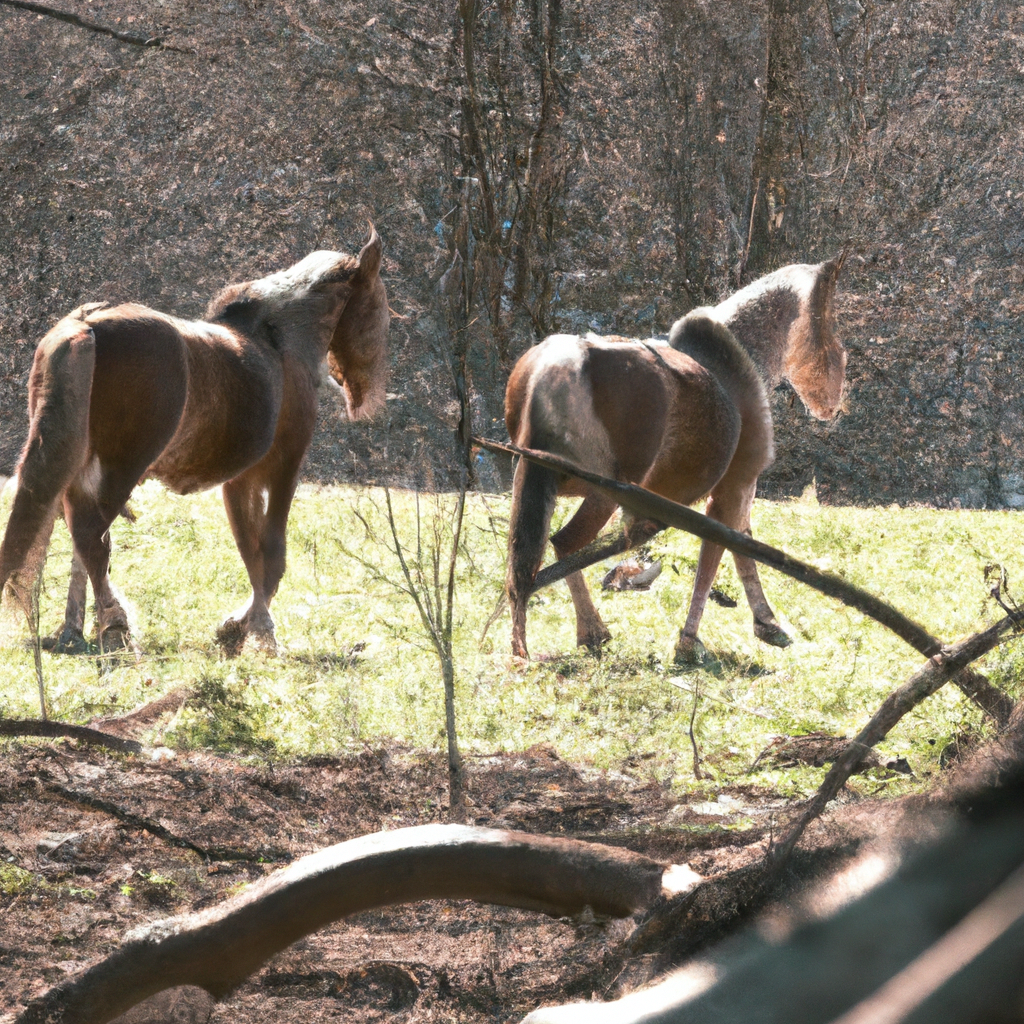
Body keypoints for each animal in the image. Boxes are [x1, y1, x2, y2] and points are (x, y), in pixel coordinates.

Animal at [0, 228, 389, 651]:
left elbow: (250, 549)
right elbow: (271, 551)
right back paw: (116, 625)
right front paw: (259, 630)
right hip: (120, 468)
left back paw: (74, 630)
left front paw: (240, 625)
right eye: (374, 300)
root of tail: (86, 325)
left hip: (77, 462)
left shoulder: (241, 480)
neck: (281, 342)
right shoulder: (284, 467)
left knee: (76, 535)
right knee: (90, 535)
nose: (370, 394)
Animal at [503, 251, 847, 659]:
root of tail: (556, 363)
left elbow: (741, 548)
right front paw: (690, 641)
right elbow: (717, 556)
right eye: (832, 332)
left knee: (527, 559)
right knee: (564, 545)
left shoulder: (734, 492)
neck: (740, 357)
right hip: (603, 492)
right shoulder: (735, 486)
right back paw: (591, 631)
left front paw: (766, 623)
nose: (834, 404)